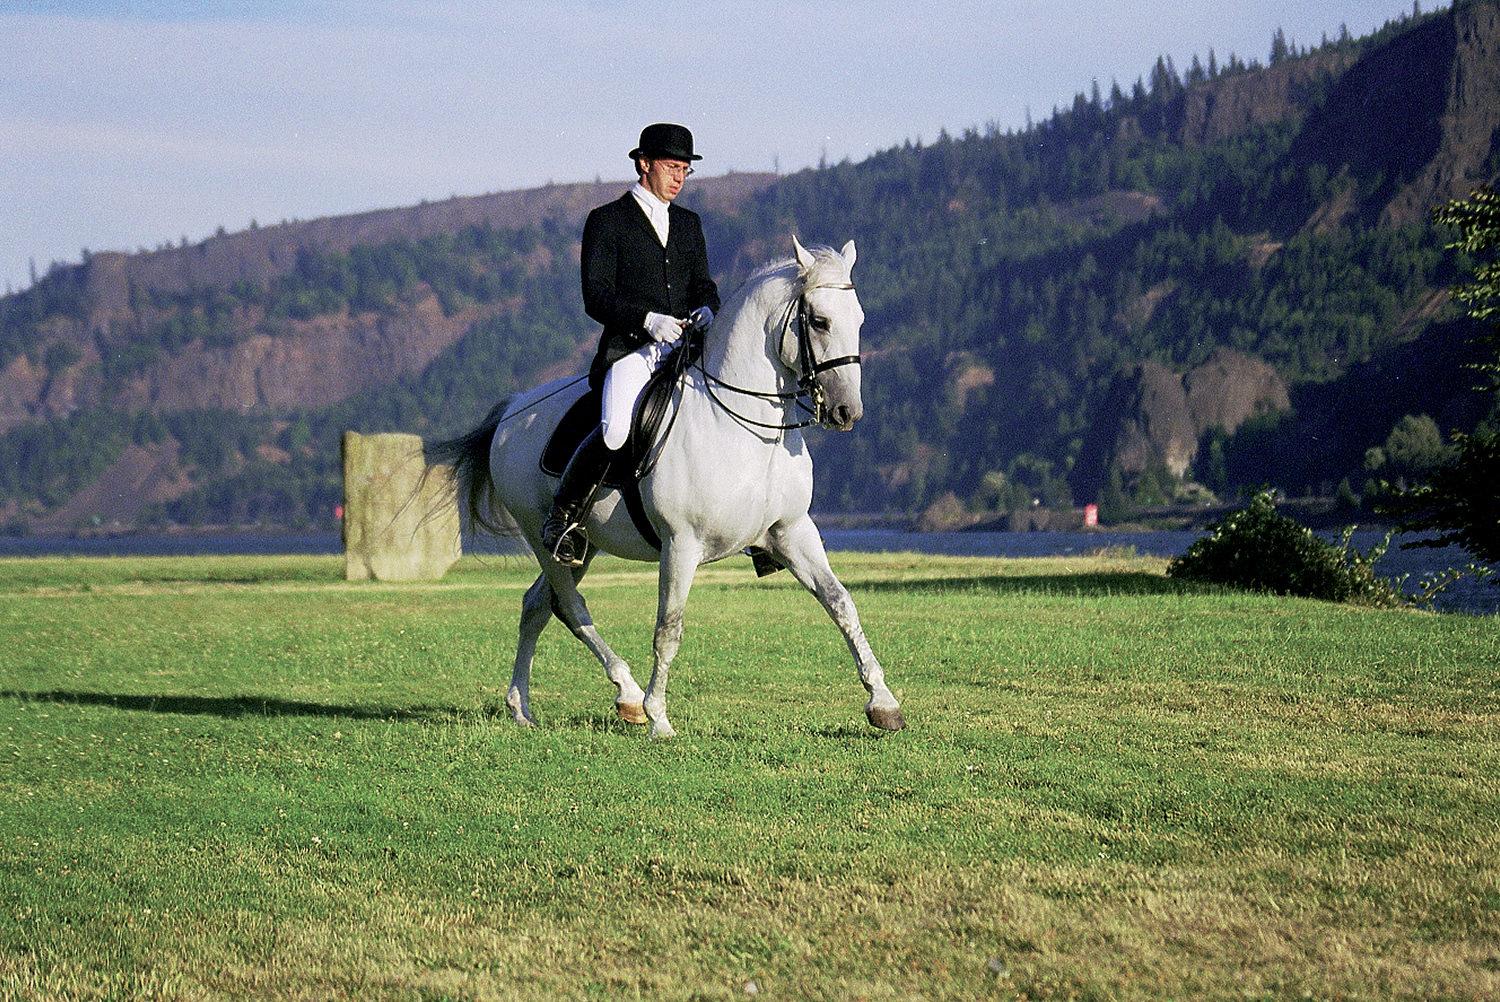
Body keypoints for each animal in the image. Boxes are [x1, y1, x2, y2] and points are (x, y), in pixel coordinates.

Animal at [429, 235, 906, 735]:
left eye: (859, 320)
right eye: (819, 321)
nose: (846, 411)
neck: (743, 426)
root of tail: (513, 411)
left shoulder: (792, 531)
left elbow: (840, 602)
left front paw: (883, 703)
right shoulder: (682, 543)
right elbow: (669, 628)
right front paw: (659, 717)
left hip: (584, 545)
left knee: (538, 604)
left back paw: (522, 707)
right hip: (543, 536)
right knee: (571, 607)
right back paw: (629, 695)